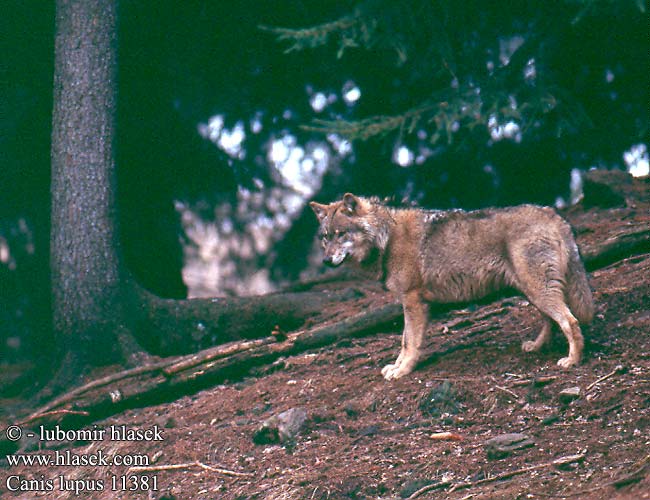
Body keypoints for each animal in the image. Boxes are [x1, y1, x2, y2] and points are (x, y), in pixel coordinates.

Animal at [308, 192, 592, 378]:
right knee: (550, 320)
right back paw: (537, 347)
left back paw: (573, 360)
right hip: (531, 290)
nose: (326, 260)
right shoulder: (410, 304)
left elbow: (409, 343)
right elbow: (404, 340)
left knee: (570, 321)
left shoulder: (413, 301)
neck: (387, 238)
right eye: (325, 238)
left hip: (538, 289)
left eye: (341, 234)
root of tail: (552, 214)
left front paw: (402, 371)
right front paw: (396, 367)